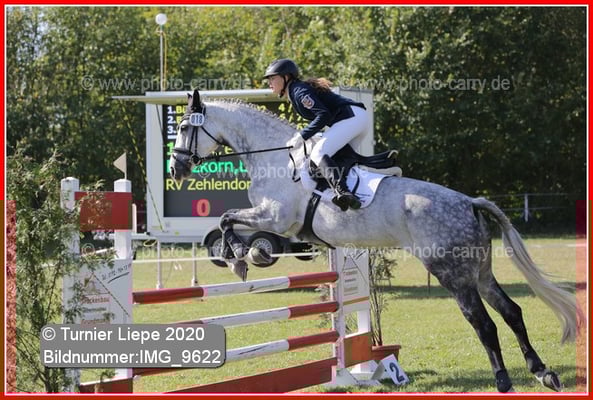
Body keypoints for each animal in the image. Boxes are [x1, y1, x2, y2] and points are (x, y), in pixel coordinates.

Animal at [169, 89, 581, 393]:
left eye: (185, 128)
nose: (176, 168)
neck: (275, 158)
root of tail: (469, 202)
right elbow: (228, 221)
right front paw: (243, 255)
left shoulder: (274, 217)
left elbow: (227, 219)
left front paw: (243, 257)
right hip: (479, 270)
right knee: (512, 312)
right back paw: (542, 372)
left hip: (452, 274)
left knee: (484, 323)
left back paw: (503, 380)